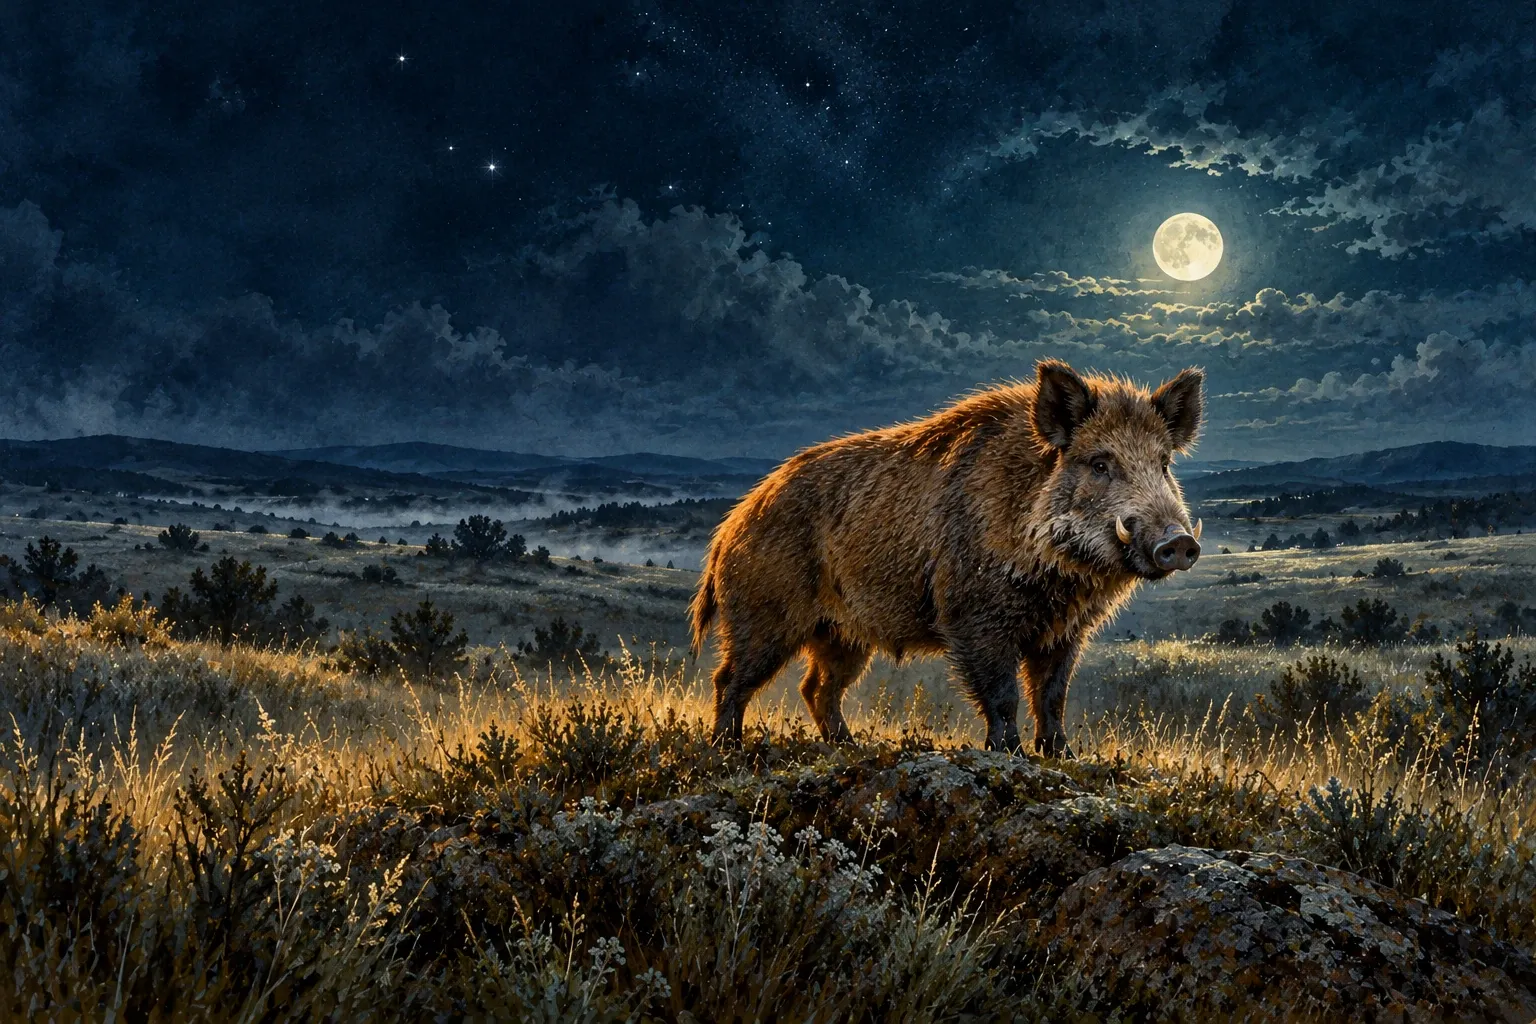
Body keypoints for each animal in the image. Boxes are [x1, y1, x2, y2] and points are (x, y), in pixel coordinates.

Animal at [689, 359, 1204, 755]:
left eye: (1163, 464)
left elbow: (1052, 695)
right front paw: (1010, 754)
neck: (1060, 576)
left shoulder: (1065, 631)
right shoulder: (973, 616)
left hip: (842, 634)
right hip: (764, 614)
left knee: (816, 687)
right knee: (729, 678)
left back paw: (848, 747)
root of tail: (727, 532)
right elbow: (1002, 694)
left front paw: (1064, 756)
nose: (1178, 543)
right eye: (1100, 463)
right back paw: (728, 748)